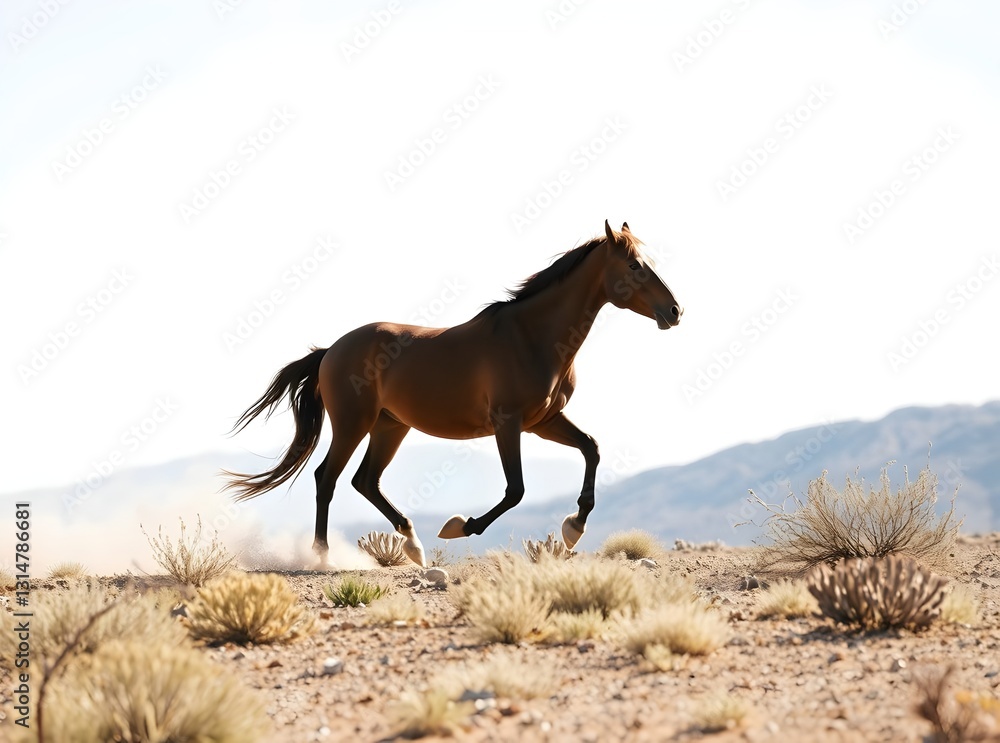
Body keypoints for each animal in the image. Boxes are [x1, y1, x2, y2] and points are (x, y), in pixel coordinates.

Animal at [225, 221, 683, 567]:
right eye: (634, 265)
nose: (675, 311)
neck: (531, 337)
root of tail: (330, 351)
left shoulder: (544, 422)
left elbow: (591, 448)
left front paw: (574, 528)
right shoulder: (508, 423)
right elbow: (515, 490)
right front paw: (462, 526)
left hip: (390, 427)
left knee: (364, 481)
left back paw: (413, 544)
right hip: (354, 424)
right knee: (328, 478)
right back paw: (322, 556)